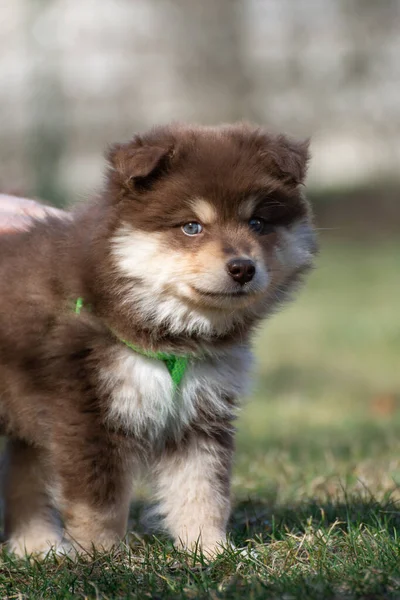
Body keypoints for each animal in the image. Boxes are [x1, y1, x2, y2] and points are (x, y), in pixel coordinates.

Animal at [0, 123, 318, 556]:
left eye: (257, 223)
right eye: (191, 226)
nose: (242, 268)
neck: (168, 333)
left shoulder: (200, 414)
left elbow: (202, 492)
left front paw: (211, 552)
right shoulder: (87, 412)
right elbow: (98, 504)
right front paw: (102, 558)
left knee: (25, 479)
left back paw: (38, 549)